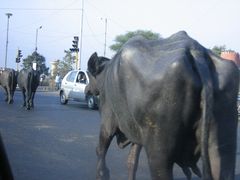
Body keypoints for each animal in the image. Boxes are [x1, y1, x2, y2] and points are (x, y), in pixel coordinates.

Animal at [87, 31, 239, 180]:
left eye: (89, 75)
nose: (87, 90)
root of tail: (196, 51)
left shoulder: (107, 123)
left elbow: (100, 155)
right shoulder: (138, 136)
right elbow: (132, 162)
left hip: (159, 153)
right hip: (221, 149)